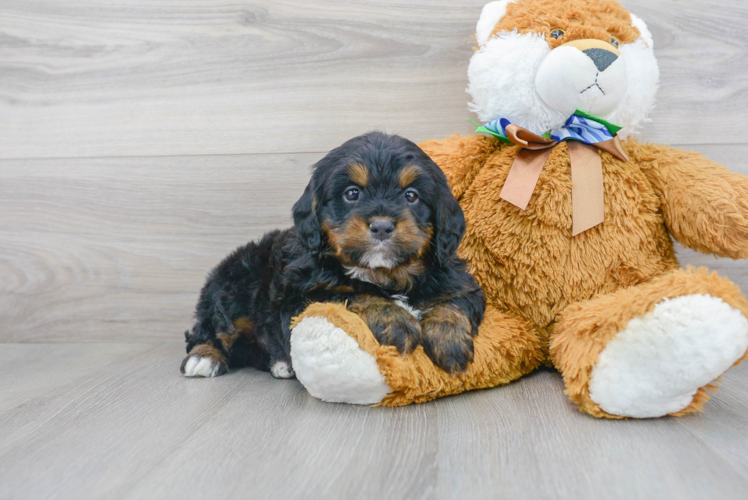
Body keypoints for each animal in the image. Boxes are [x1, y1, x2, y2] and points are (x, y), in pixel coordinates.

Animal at [181, 133, 486, 378]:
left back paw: (280, 364)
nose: (382, 226)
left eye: (411, 196)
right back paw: (204, 356)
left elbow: (455, 302)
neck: (384, 273)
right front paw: (395, 319)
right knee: (210, 328)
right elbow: (349, 295)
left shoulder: (460, 281)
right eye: (352, 193)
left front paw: (450, 339)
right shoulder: (299, 297)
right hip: (233, 287)